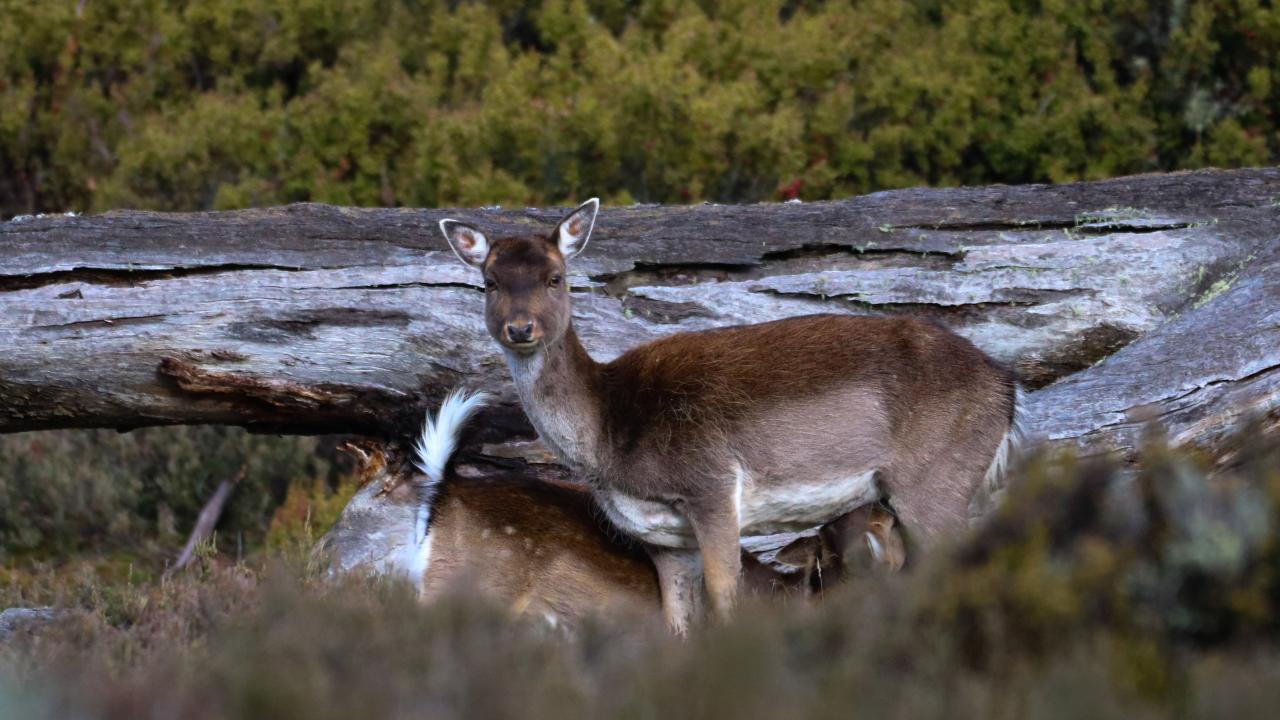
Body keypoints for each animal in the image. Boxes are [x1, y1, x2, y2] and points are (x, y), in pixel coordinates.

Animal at [438, 199, 1021, 631]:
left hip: (935, 479)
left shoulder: (712, 485)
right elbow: (678, 622)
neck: (609, 438)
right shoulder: (663, 539)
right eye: (489, 282)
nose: (520, 328)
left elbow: (725, 604)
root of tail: (1008, 389)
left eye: (556, 278)